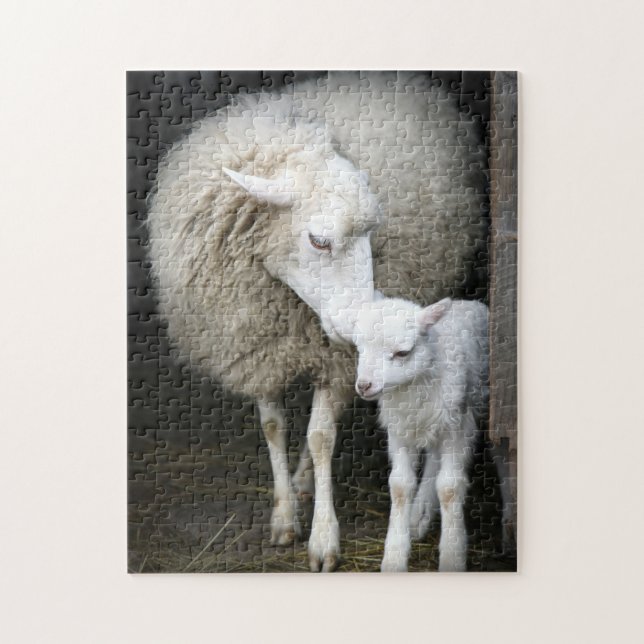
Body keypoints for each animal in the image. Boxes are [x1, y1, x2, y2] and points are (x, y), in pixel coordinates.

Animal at [352, 297, 489, 572]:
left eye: (403, 353)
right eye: (359, 348)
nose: (364, 385)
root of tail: (469, 301)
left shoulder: (458, 425)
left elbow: (449, 487)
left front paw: (452, 554)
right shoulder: (399, 430)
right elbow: (400, 485)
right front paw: (394, 555)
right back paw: (418, 516)